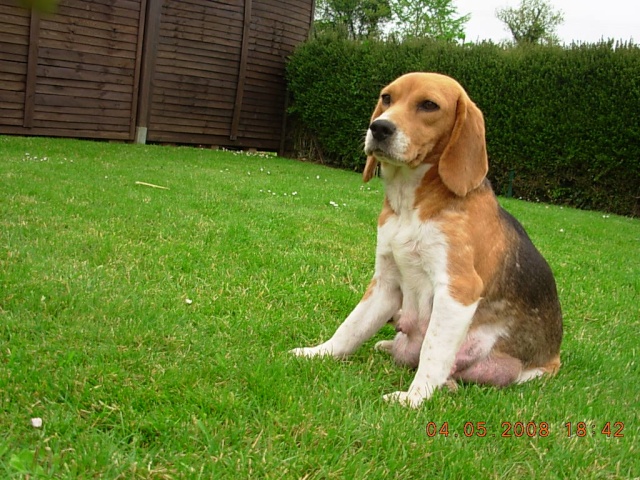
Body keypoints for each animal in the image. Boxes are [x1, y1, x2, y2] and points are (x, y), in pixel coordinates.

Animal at [292, 72, 564, 408]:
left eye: (429, 105)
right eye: (386, 98)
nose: (379, 127)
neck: (411, 205)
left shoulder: (458, 290)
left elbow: (433, 353)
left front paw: (414, 399)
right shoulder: (385, 282)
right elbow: (351, 328)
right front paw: (318, 353)